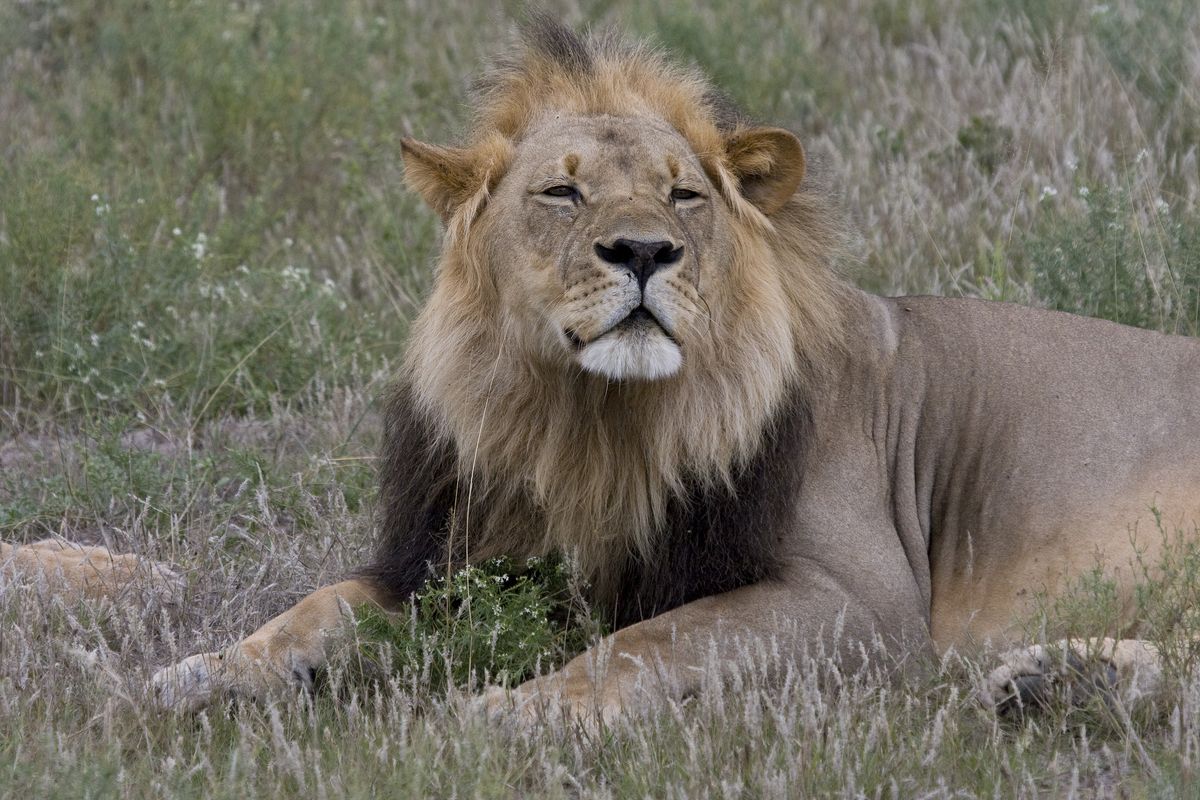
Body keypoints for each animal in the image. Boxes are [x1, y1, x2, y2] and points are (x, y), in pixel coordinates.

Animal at [146, 18, 1200, 722]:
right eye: (562, 191)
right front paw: (211, 668)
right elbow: (321, 605)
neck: (588, 421)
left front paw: (517, 710)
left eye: (684, 195)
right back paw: (1060, 681)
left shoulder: (863, 602)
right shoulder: (454, 558)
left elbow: (650, 641)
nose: (646, 252)